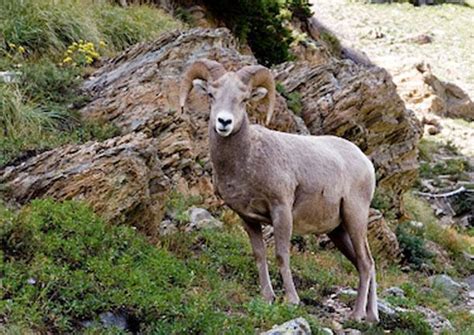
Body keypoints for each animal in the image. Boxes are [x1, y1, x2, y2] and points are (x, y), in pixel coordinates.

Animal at [180, 59, 380, 322]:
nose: (224, 122)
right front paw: (268, 298)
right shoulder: (248, 218)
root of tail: (366, 162)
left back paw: (357, 316)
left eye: (244, 99)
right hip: (338, 231)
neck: (248, 158)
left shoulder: (281, 211)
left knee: (365, 263)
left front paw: (292, 301)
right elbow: (259, 255)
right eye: (212, 95)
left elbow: (281, 255)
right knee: (365, 262)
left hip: (354, 217)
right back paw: (372, 317)